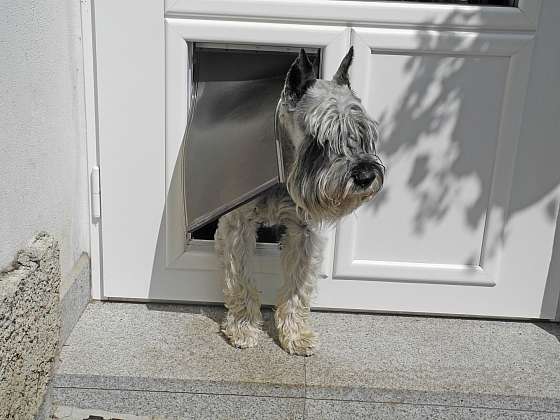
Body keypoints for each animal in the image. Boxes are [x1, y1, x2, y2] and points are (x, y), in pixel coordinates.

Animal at [214, 46, 384, 354]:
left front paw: (295, 334)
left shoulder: (304, 231)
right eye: (322, 138)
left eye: (363, 131)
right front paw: (243, 327)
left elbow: (297, 285)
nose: (365, 176)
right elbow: (241, 279)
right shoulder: (237, 226)